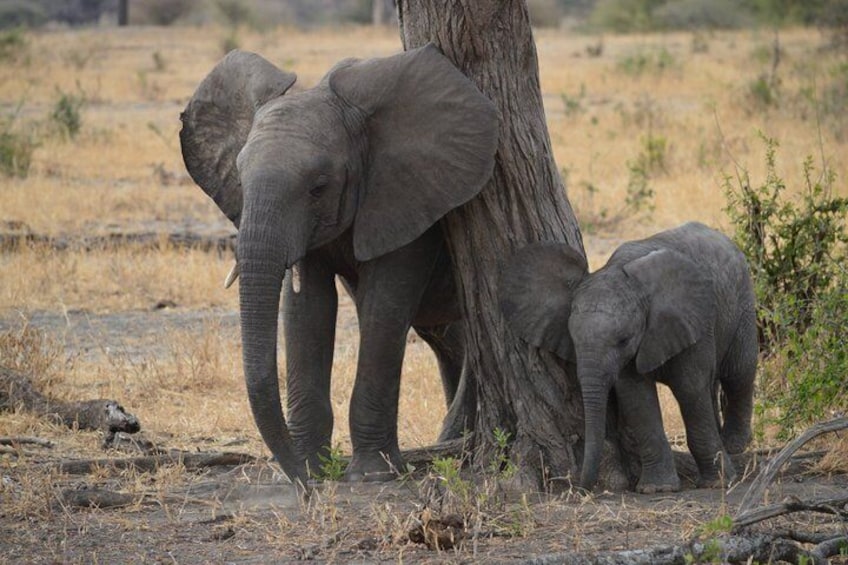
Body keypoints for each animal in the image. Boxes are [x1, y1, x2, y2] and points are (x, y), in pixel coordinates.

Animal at [180, 45, 498, 485]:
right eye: (240, 182)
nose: (303, 484)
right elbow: (307, 308)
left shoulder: (406, 197)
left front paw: (371, 475)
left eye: (318, 188)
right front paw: (312, 465)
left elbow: (384, 307)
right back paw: (449, 442)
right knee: (446, 336)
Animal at [499, 222, 757, 493]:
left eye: (623, 340)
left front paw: (718, 483)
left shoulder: (692, 323)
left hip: (743, 303)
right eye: (573, 340)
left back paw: (734, 444)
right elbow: (636, 397)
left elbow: (690, 389)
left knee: (739, 373)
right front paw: (657, 488)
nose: (580, 487)